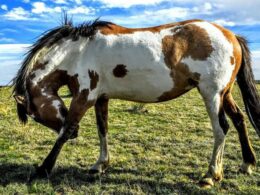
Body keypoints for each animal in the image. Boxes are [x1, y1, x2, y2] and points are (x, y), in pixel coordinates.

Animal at [11, 17, 258, 187]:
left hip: (212, 93)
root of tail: (231, 35)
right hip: (225, 93)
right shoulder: (101, 98)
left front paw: (43, 168)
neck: (79, 52)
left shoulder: (84, 97)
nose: (77, 135)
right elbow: (102, 130)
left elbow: (65, 131)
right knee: (239, 120)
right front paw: (100, 164)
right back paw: (246, 163)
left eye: (34, 114)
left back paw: (211, 175)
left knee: (221, 128)